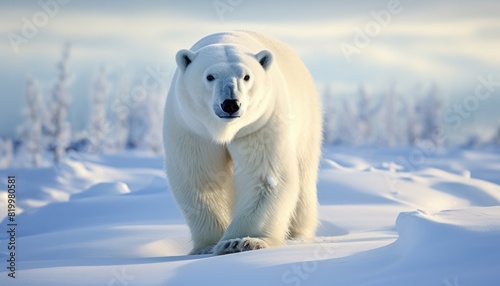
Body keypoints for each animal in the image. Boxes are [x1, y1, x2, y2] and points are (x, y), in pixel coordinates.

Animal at [162, 31, 322, 255]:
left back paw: (297, 235)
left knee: (304, 175)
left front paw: (239, 242)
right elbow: (201, 178)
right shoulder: (192, 129)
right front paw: (208, 246)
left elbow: (264, 176)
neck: (224, 131)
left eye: (246, 76)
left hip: (306, 120)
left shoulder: (259, 124)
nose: (230, 103)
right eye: (210, 76)